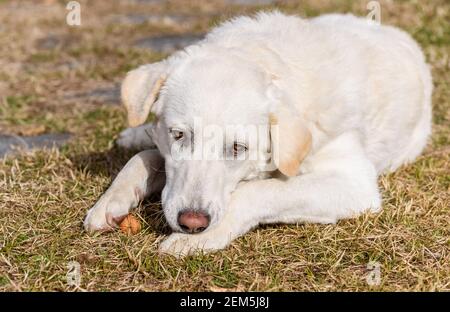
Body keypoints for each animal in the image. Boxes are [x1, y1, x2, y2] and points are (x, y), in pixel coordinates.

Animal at [83, 11, 432, 256]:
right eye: (179, 135)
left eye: (238, 148)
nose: (192, 223)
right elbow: (142, 159)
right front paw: (110, 201)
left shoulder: (353, 184)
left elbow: (256, 191)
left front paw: (202, 238)